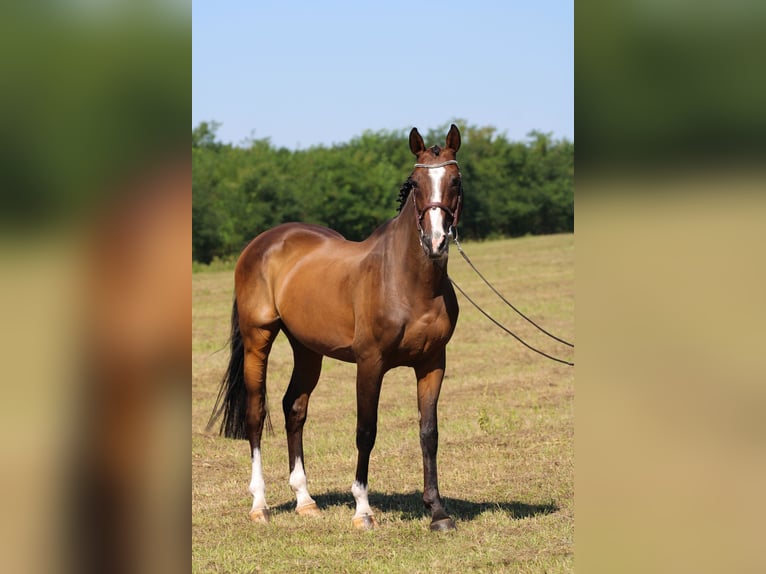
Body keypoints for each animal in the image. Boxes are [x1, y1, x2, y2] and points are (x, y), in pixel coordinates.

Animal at [207, 124, 464, 532]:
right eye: (415, 183)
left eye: (455, 181)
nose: (435, 241)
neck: (409, 282)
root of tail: (263, 243)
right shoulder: (371, 363)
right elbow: (366, 431)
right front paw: (362, 510)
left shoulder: (432, 363)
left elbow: (429, 432)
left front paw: (437, 512)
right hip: (257, 338)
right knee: (256, 413)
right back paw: (259, 504)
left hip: (307, 348)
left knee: (294, 408)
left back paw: (305, 500)